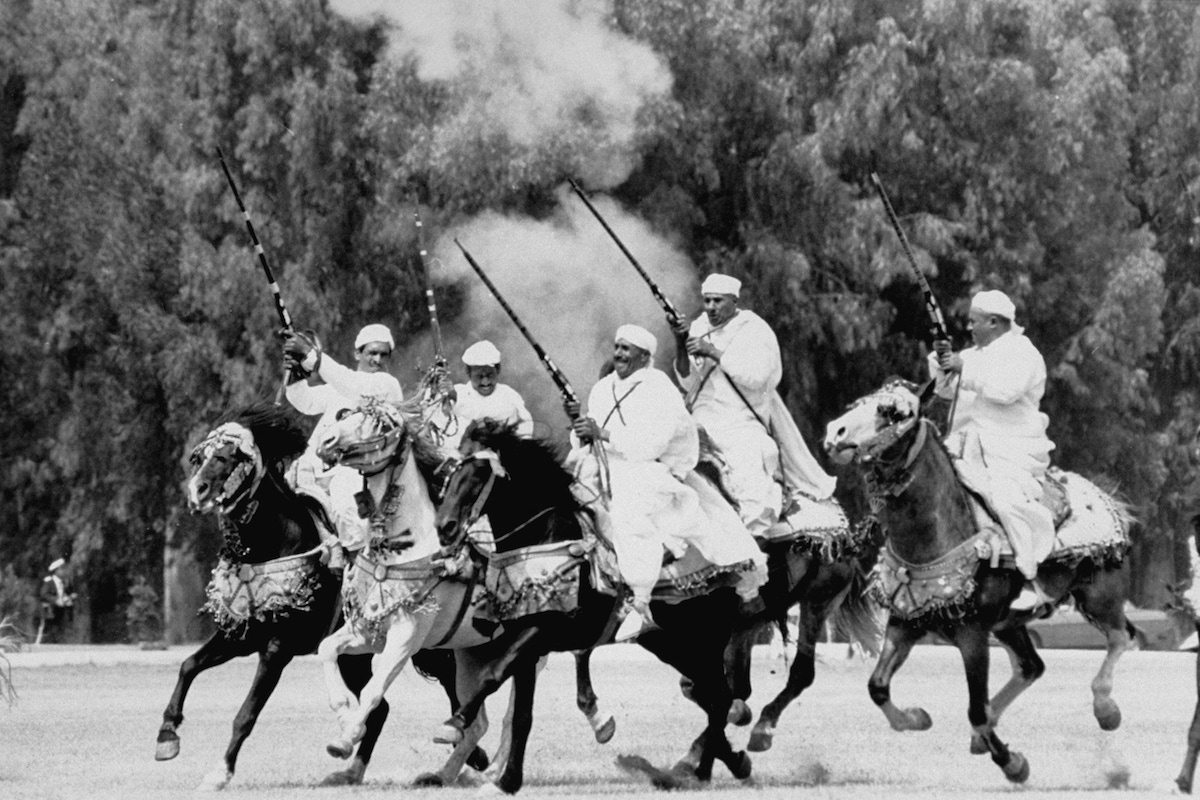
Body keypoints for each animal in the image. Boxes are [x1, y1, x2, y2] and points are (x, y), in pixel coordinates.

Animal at [156, 402, 482, 791]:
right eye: (197, 458)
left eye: (229, 456)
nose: (198, 491)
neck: (275, 544)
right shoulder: (240, 637)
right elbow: (188, 666)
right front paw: (167, 736)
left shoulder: (277, 649)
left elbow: (246, 714)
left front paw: (220, 772)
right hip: (358, 657)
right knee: (382, 709)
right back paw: (352, 770)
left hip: (428, 645)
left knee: (450, 686)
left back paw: (469, 754)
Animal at [429, 419, 748, 796]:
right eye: (452, 471)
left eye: (479, 472)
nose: (445, 527)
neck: (544, 539)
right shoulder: (527, 641)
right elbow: (522, 715)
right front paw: (507, 781)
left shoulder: (542, 630)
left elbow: (492, 675)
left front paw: (454, 723)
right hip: (670, 644)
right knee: (713, 697)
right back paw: (712, 767)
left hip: (704, 640)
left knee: (721, 697)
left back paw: (699, 771)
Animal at [820, 381, 1137, 782]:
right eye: (860, 403)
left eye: (893, 412)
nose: (835, 433)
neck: (937, 537)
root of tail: (1106, 498)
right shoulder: (903, 624)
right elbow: (877, 687)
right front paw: (916, 718)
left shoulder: (972, 635)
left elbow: (974, 708)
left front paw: (1013, 763)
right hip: (1010, 624)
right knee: (1032, 666)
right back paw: (983, 735)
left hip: (1099, 596)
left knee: (1121, 636)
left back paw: (1105, 708)